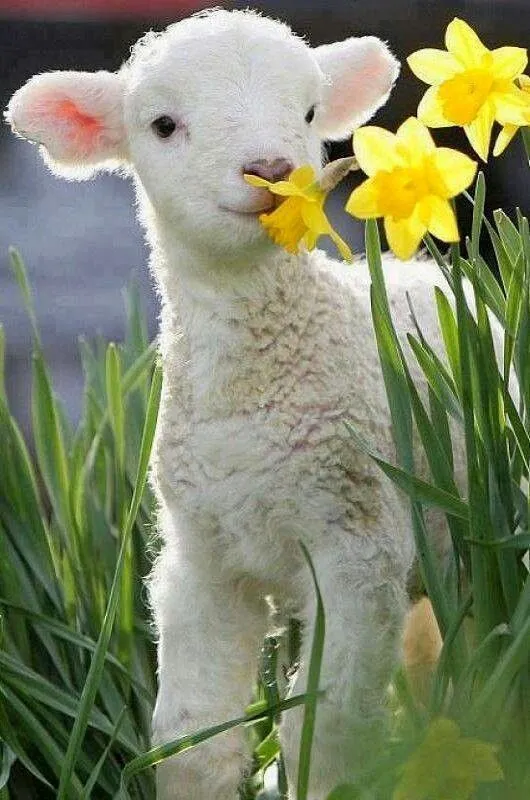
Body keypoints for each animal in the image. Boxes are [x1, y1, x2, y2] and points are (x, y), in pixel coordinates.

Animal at [7, 8, 456, 798]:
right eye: (162, 125)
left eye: (308, 113)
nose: (273, 171)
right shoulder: (202, 559)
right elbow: (189, 739)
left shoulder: (359, 546)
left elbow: (325, 733)